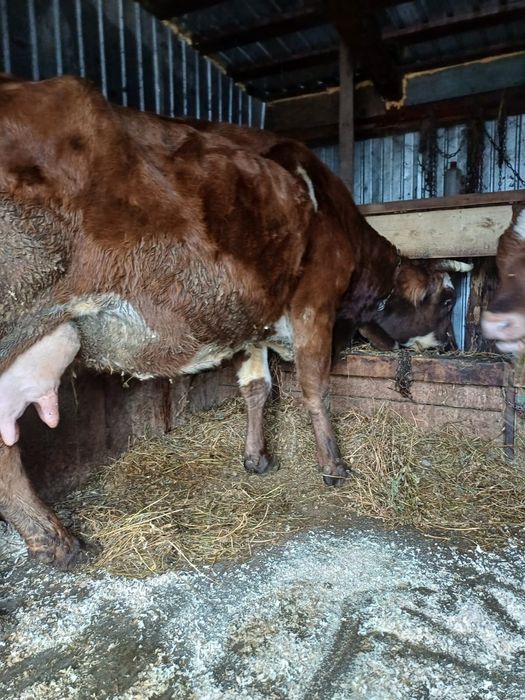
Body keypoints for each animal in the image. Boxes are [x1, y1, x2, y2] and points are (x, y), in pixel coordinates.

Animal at [0, 74, 472, 567]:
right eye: (447, 298)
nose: (450, 344)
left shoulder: (256, 323)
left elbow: (257, 389)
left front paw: (256, 458)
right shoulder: (315, 302)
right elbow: (316, 387)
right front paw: (333, 466)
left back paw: (49, 538)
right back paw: (57, 540)